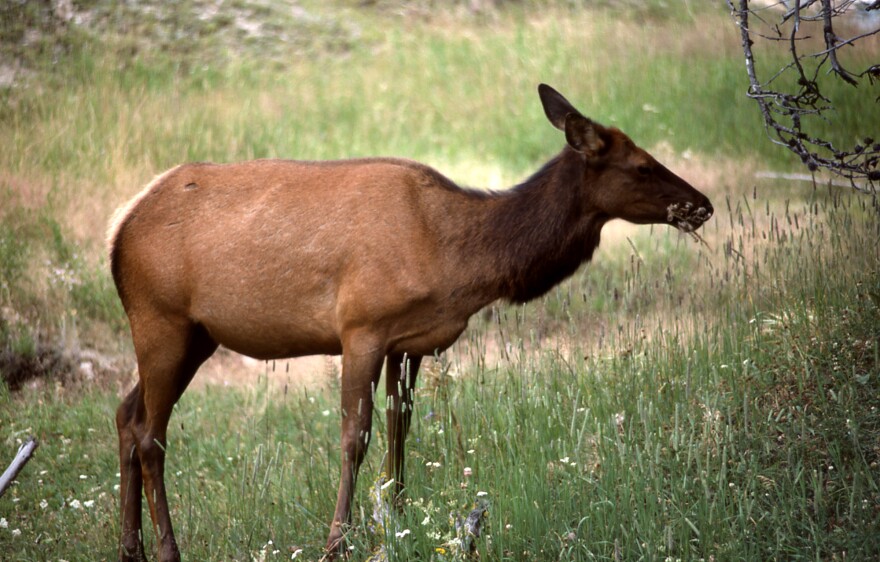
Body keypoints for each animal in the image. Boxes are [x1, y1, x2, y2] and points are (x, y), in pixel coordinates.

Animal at [110, 84, 716, 560]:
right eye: (642, 166)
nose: (704, 204)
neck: (458, 262)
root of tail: (118, 231)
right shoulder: (361, 328)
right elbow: (355, 437)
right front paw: (337, 544)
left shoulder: (411, 341)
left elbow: (400, 429)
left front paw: (397, 522)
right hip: (160, 318)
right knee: (152, 436)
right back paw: (167, 550)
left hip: (196, 334)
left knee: (126, 414)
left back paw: (129, 548)